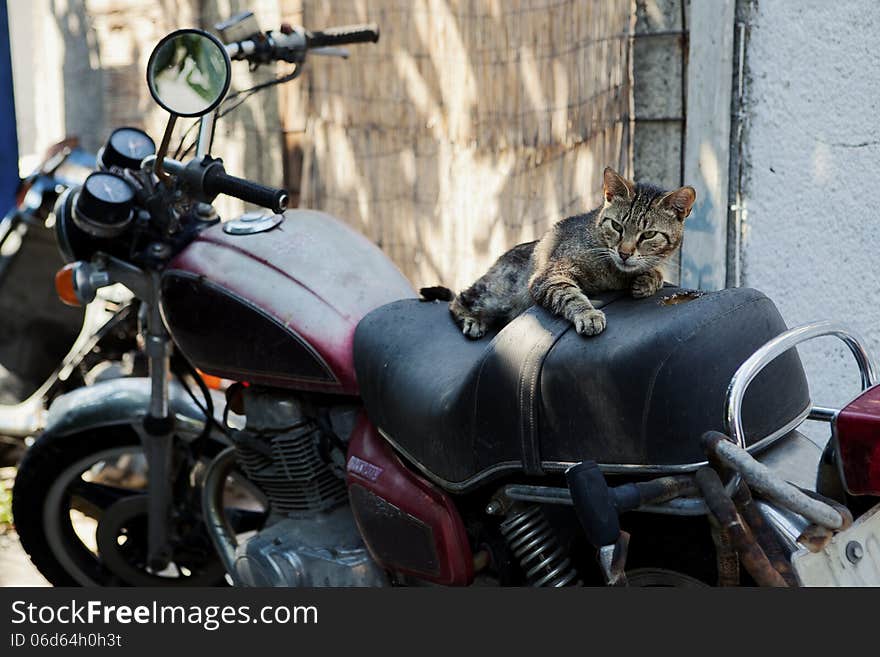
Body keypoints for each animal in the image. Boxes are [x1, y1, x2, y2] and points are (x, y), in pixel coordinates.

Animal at [430, 167, 696, 338]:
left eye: (648, 235)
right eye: (617, 226)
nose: (624, 252)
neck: (614, 273)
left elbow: (655, 271)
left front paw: (648, 280)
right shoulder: (550, 275)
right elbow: (570, 295)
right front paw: (588, 315)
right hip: (496, 295)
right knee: (458, 299)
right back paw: (472, 320)